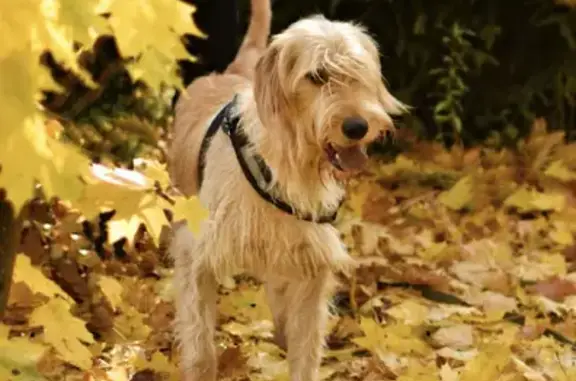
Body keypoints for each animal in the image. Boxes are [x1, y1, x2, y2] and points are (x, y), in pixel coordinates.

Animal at [169, 0, 408, 378]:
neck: (287, 162)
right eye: (317, 76)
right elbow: (201, 350)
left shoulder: (311, 264)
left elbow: (305, 348)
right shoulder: (196, 256)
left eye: (358, 72)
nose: (358, 126)